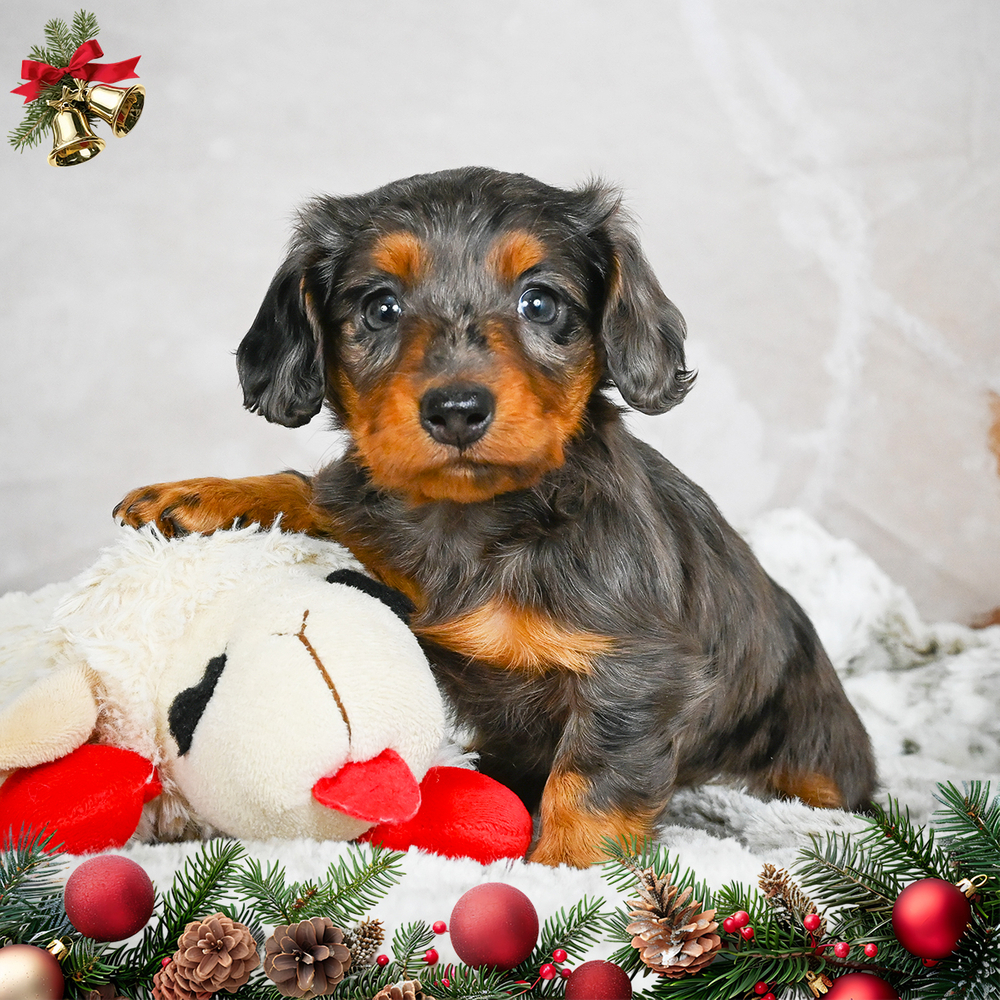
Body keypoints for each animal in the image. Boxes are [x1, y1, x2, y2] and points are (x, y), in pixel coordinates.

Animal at [116, 166, 877, 867]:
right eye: (381, 307)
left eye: (539, 302)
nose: (456, 410)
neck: (473, 520)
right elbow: (319, 493)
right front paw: (207, 494)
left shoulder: (639, 669)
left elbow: (590, 785)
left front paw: (566, 872)